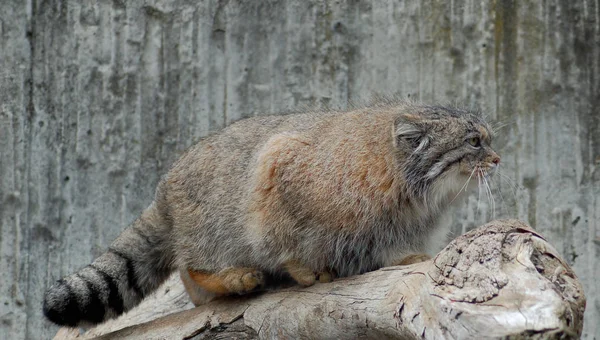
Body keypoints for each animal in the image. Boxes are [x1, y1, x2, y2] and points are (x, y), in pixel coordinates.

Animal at [44, 100, 500, 326]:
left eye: (487, 140)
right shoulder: (278, 164)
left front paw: (401, 256)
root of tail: (164, 189)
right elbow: (284, 241)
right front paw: (302, 268)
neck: (414, 192)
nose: (497, 159)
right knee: (191, 267)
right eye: (475, 141)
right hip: (213, 226)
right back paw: (233, 276)